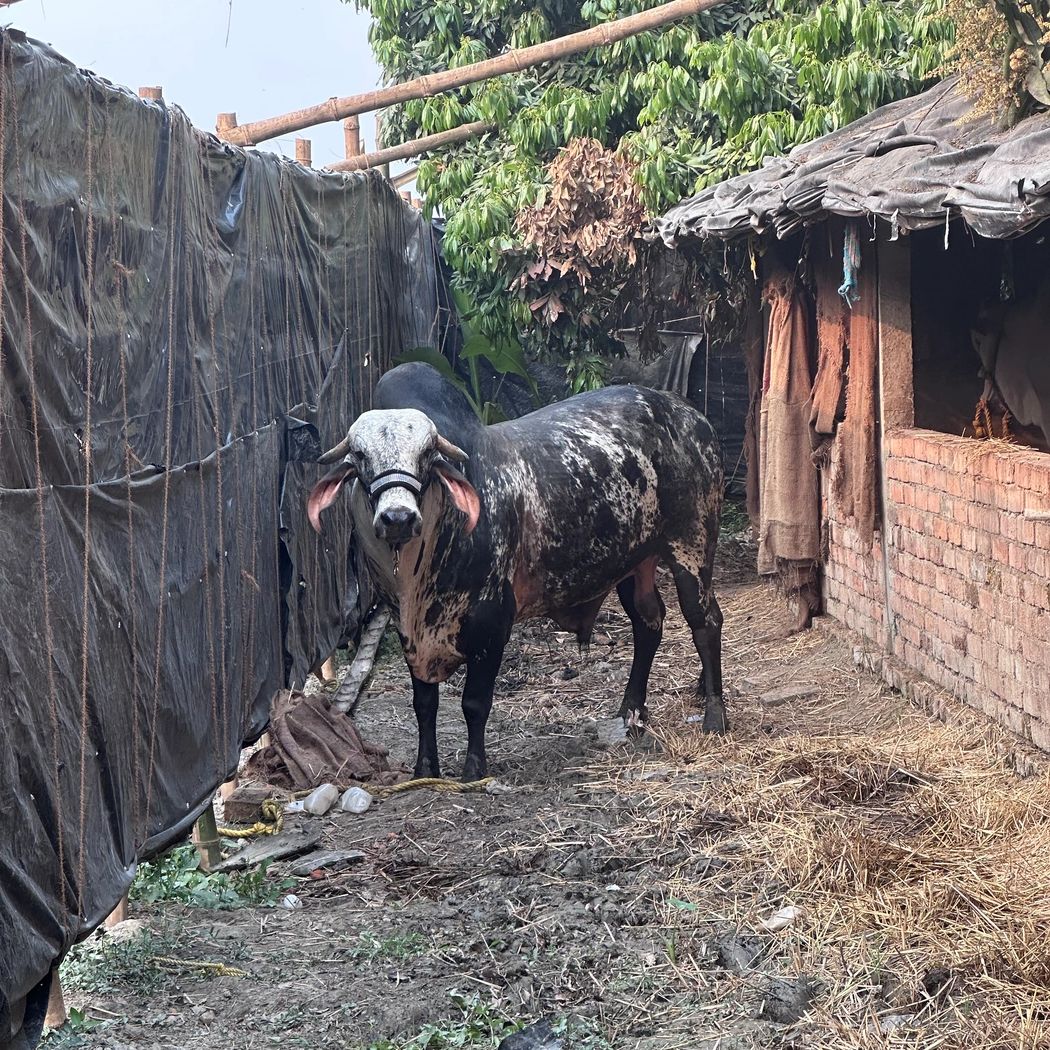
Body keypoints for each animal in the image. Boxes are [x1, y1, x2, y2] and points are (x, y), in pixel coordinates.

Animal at [308, 362, 725, 781]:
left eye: (427, 453)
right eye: (360, 456)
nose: (398, 517)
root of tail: (691, 415)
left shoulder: (492, 623)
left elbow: (475, 703)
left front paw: (474, 769)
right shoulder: (408, 630)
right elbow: (424, 705)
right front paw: (425, 769)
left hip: (693, 545)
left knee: (705, 622)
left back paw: (714, 717)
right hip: (634, 562)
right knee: (648, 623)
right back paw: (631, 712)